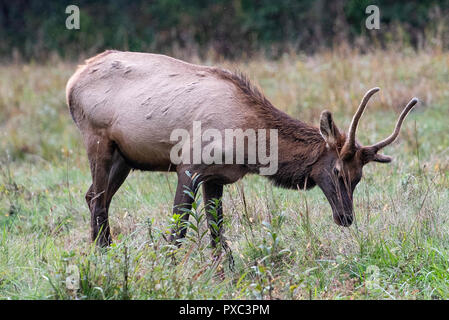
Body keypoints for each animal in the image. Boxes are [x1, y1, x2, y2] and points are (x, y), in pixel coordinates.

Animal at [65, 50, 416, 250]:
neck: (249, 148)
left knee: (94, 196)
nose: (346, 217)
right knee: (98, 198)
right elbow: (179, 228)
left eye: (358, 178)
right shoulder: (189, 165)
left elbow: (217, 234)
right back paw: (104, 253)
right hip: (97, 140)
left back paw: (103, 252)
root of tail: (72, 80)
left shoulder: (215, 176)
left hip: (125, 157)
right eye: (337, 170)